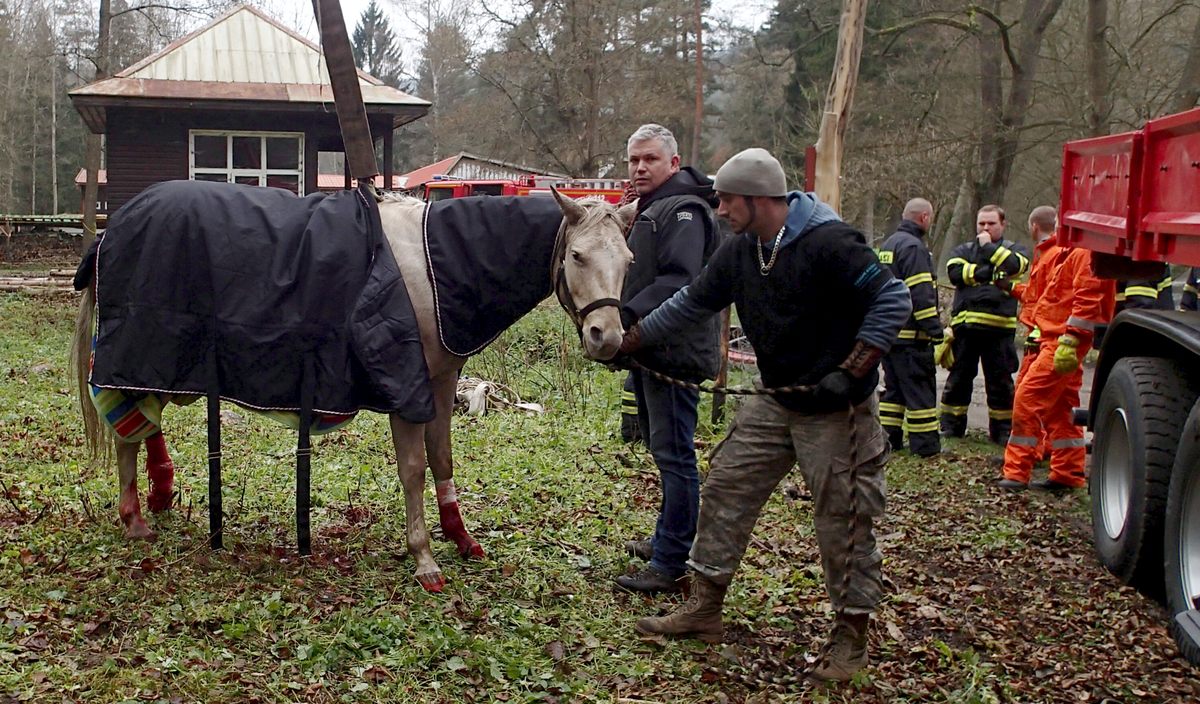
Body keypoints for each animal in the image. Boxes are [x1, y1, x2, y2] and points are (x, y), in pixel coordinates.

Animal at [71, 184, 638, 592]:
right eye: (577, 256)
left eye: (629, 260)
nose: (606, 337)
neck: (433, 267)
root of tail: (113, 228)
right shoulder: (407, 389)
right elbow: (413, 470)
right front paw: (424, 558)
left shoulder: (440, 381)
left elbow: (443, 458)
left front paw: (461, 538)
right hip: (146, 352)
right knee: (127, 434)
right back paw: (135, 520)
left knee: (144, 426)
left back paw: (159, 496)